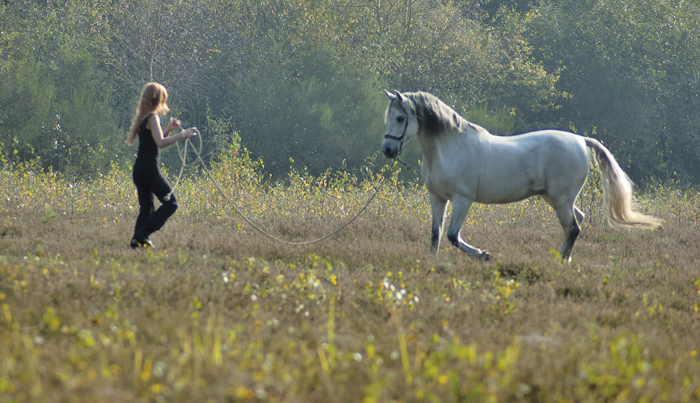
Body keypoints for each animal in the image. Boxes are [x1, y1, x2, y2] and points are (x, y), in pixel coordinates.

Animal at [381, 90, 661, 262]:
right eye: (388, 117)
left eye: (400, 117)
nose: (387, 150)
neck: (450, 147)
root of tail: (581, 140)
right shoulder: (437, 198)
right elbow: (436, 234)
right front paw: (432, 262)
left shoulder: (462, 199)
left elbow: (452, 235)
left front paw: (484, 254)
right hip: (554, 198)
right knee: (577, 221)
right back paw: (565, 258)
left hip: (560, 200)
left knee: (573, 227)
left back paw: (561, 263)